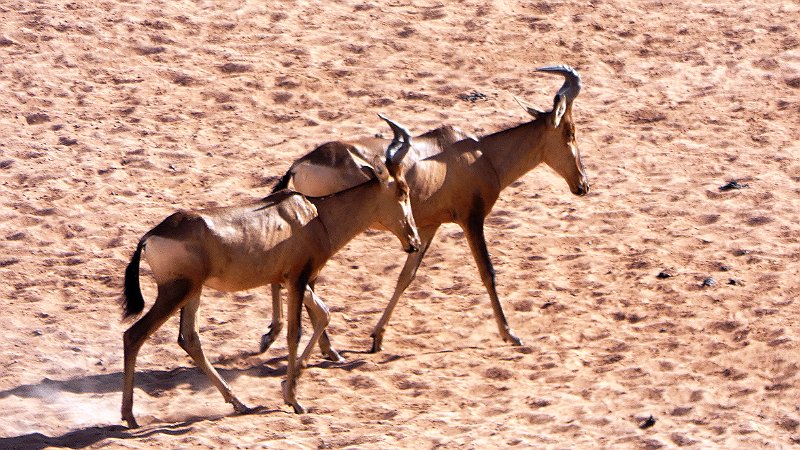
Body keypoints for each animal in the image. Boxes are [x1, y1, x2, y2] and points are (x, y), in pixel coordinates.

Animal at [120, 115, 420, 428]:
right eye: (403, 191)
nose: (414, 242)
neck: (313, 214)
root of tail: (150, 237)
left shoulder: (291, 279)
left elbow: (324, 314)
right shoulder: (299, 279)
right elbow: (295, 332)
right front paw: (293, 399)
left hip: (193, 292)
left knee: (189, 339)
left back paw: (239, 403)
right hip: (175, 292)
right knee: (134, 335)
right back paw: (130, 416)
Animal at [259, 65, 588, 355]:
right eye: (569, 132)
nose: (583, 184)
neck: (478, 153)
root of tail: (299, 165)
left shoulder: (428, 226)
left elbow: (406, 277)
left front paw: (377, 337)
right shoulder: (471, 219)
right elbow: (488, 272)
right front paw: (511, 335)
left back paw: (274, 336)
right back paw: (325, 348)